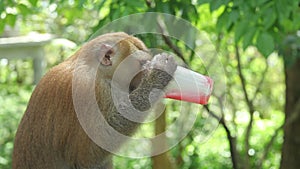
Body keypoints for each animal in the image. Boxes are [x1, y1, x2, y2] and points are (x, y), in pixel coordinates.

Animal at [12, 32, 178, 169]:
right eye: (141, 63)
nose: (144, 74)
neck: (96, 69)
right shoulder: (87, 89)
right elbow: (86, 154)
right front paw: (158, 74)